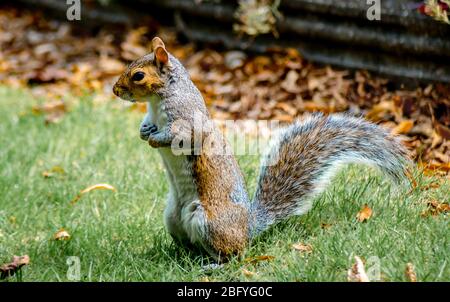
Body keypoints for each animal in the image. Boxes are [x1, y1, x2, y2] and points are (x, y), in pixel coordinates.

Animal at [112, 37, 412, 260]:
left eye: (138, 75)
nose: (115, 90)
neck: (157, 101)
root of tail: (249, 227)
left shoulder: (187, 119)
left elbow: (184, 136)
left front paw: (156, 139)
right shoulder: (152, 115)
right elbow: (147, 125)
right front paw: (144, 132)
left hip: (210, 222)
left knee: (233, 254)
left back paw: (213, 264)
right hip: (173, 218)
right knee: (191, 245)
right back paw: (177, 254)